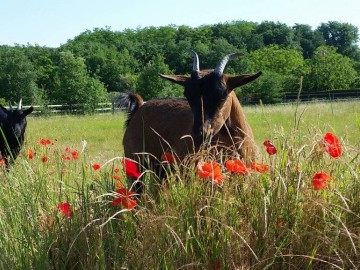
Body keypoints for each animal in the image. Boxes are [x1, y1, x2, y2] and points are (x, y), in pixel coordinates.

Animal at [119, 51, 260, 193]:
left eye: (222, 95)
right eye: (188, 95)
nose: (200, 134)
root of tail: (139, 108)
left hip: (161, 169)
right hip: (135, 163)